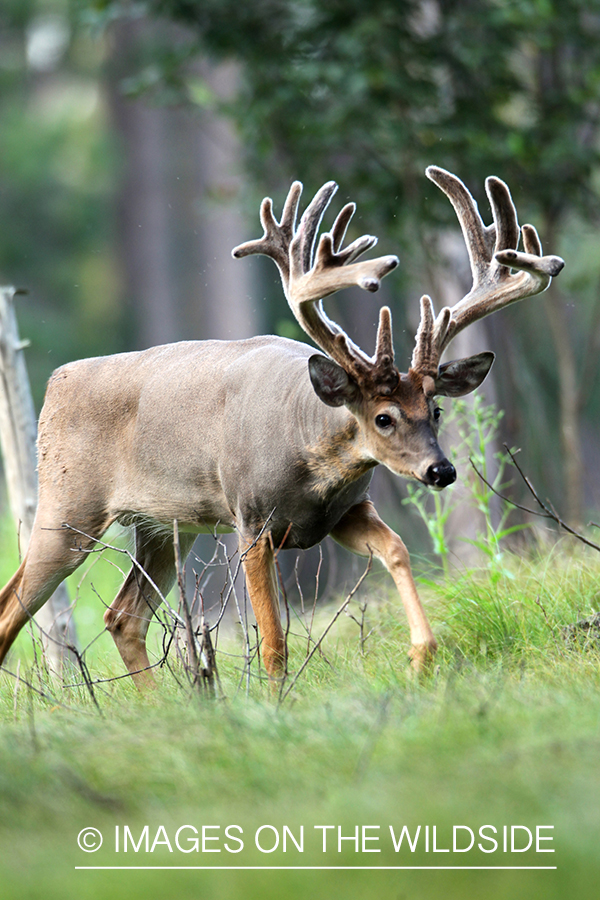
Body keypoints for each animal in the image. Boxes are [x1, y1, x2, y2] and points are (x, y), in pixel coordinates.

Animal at [0, 165, 564, 684]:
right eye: (382, 417)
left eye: (437, 410)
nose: (441, 470)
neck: (309, 452)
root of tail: (56, 382)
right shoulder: (251, 521)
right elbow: (273, 641)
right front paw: (275, 701)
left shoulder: (345, 513)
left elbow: (398, 551)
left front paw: (422, 655)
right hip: (67, 505)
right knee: (14, 605)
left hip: (160, 525)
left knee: (122, 616)